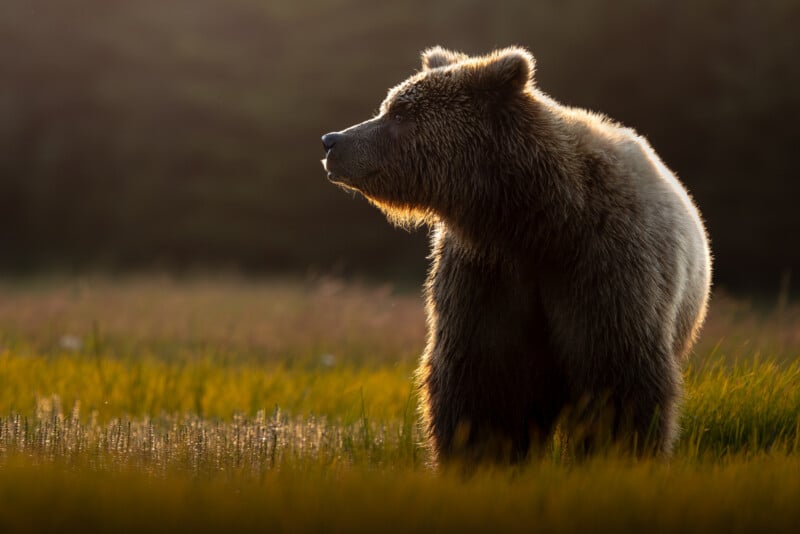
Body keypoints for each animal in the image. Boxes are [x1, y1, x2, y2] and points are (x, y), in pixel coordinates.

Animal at [321, 46, 712, 464]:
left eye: (398, 113)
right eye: (389, 106)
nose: (331, 141)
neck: (535, 220)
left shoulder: (603, 263)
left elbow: (615, 378)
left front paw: (615, 453)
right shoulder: (489, 276)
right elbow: (483, 382)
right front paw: (481, 455)